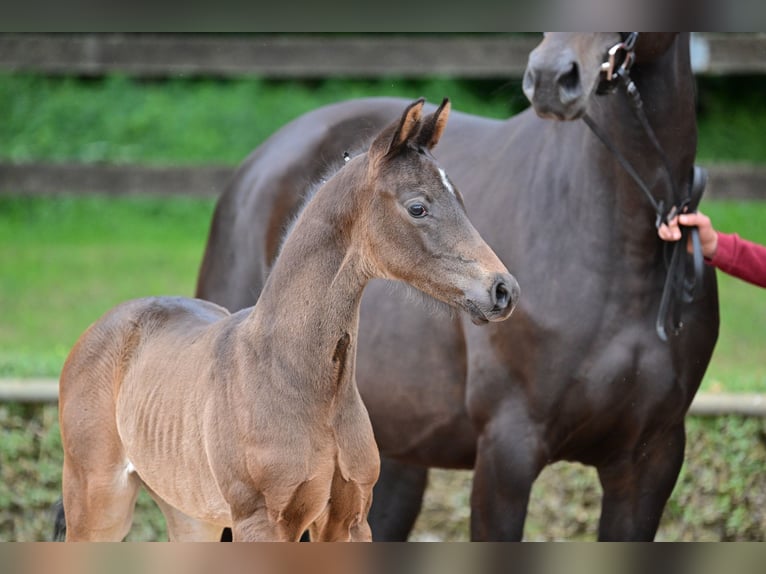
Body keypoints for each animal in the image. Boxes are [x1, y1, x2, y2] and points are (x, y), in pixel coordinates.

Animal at [57, 99, 520, 544]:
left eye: (460, 200)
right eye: (418, 207)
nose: (503, 290)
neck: (299, 381)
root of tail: (104, 325)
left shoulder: (349, 520)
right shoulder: (261, 520)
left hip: (189, 512)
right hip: (99, 501)